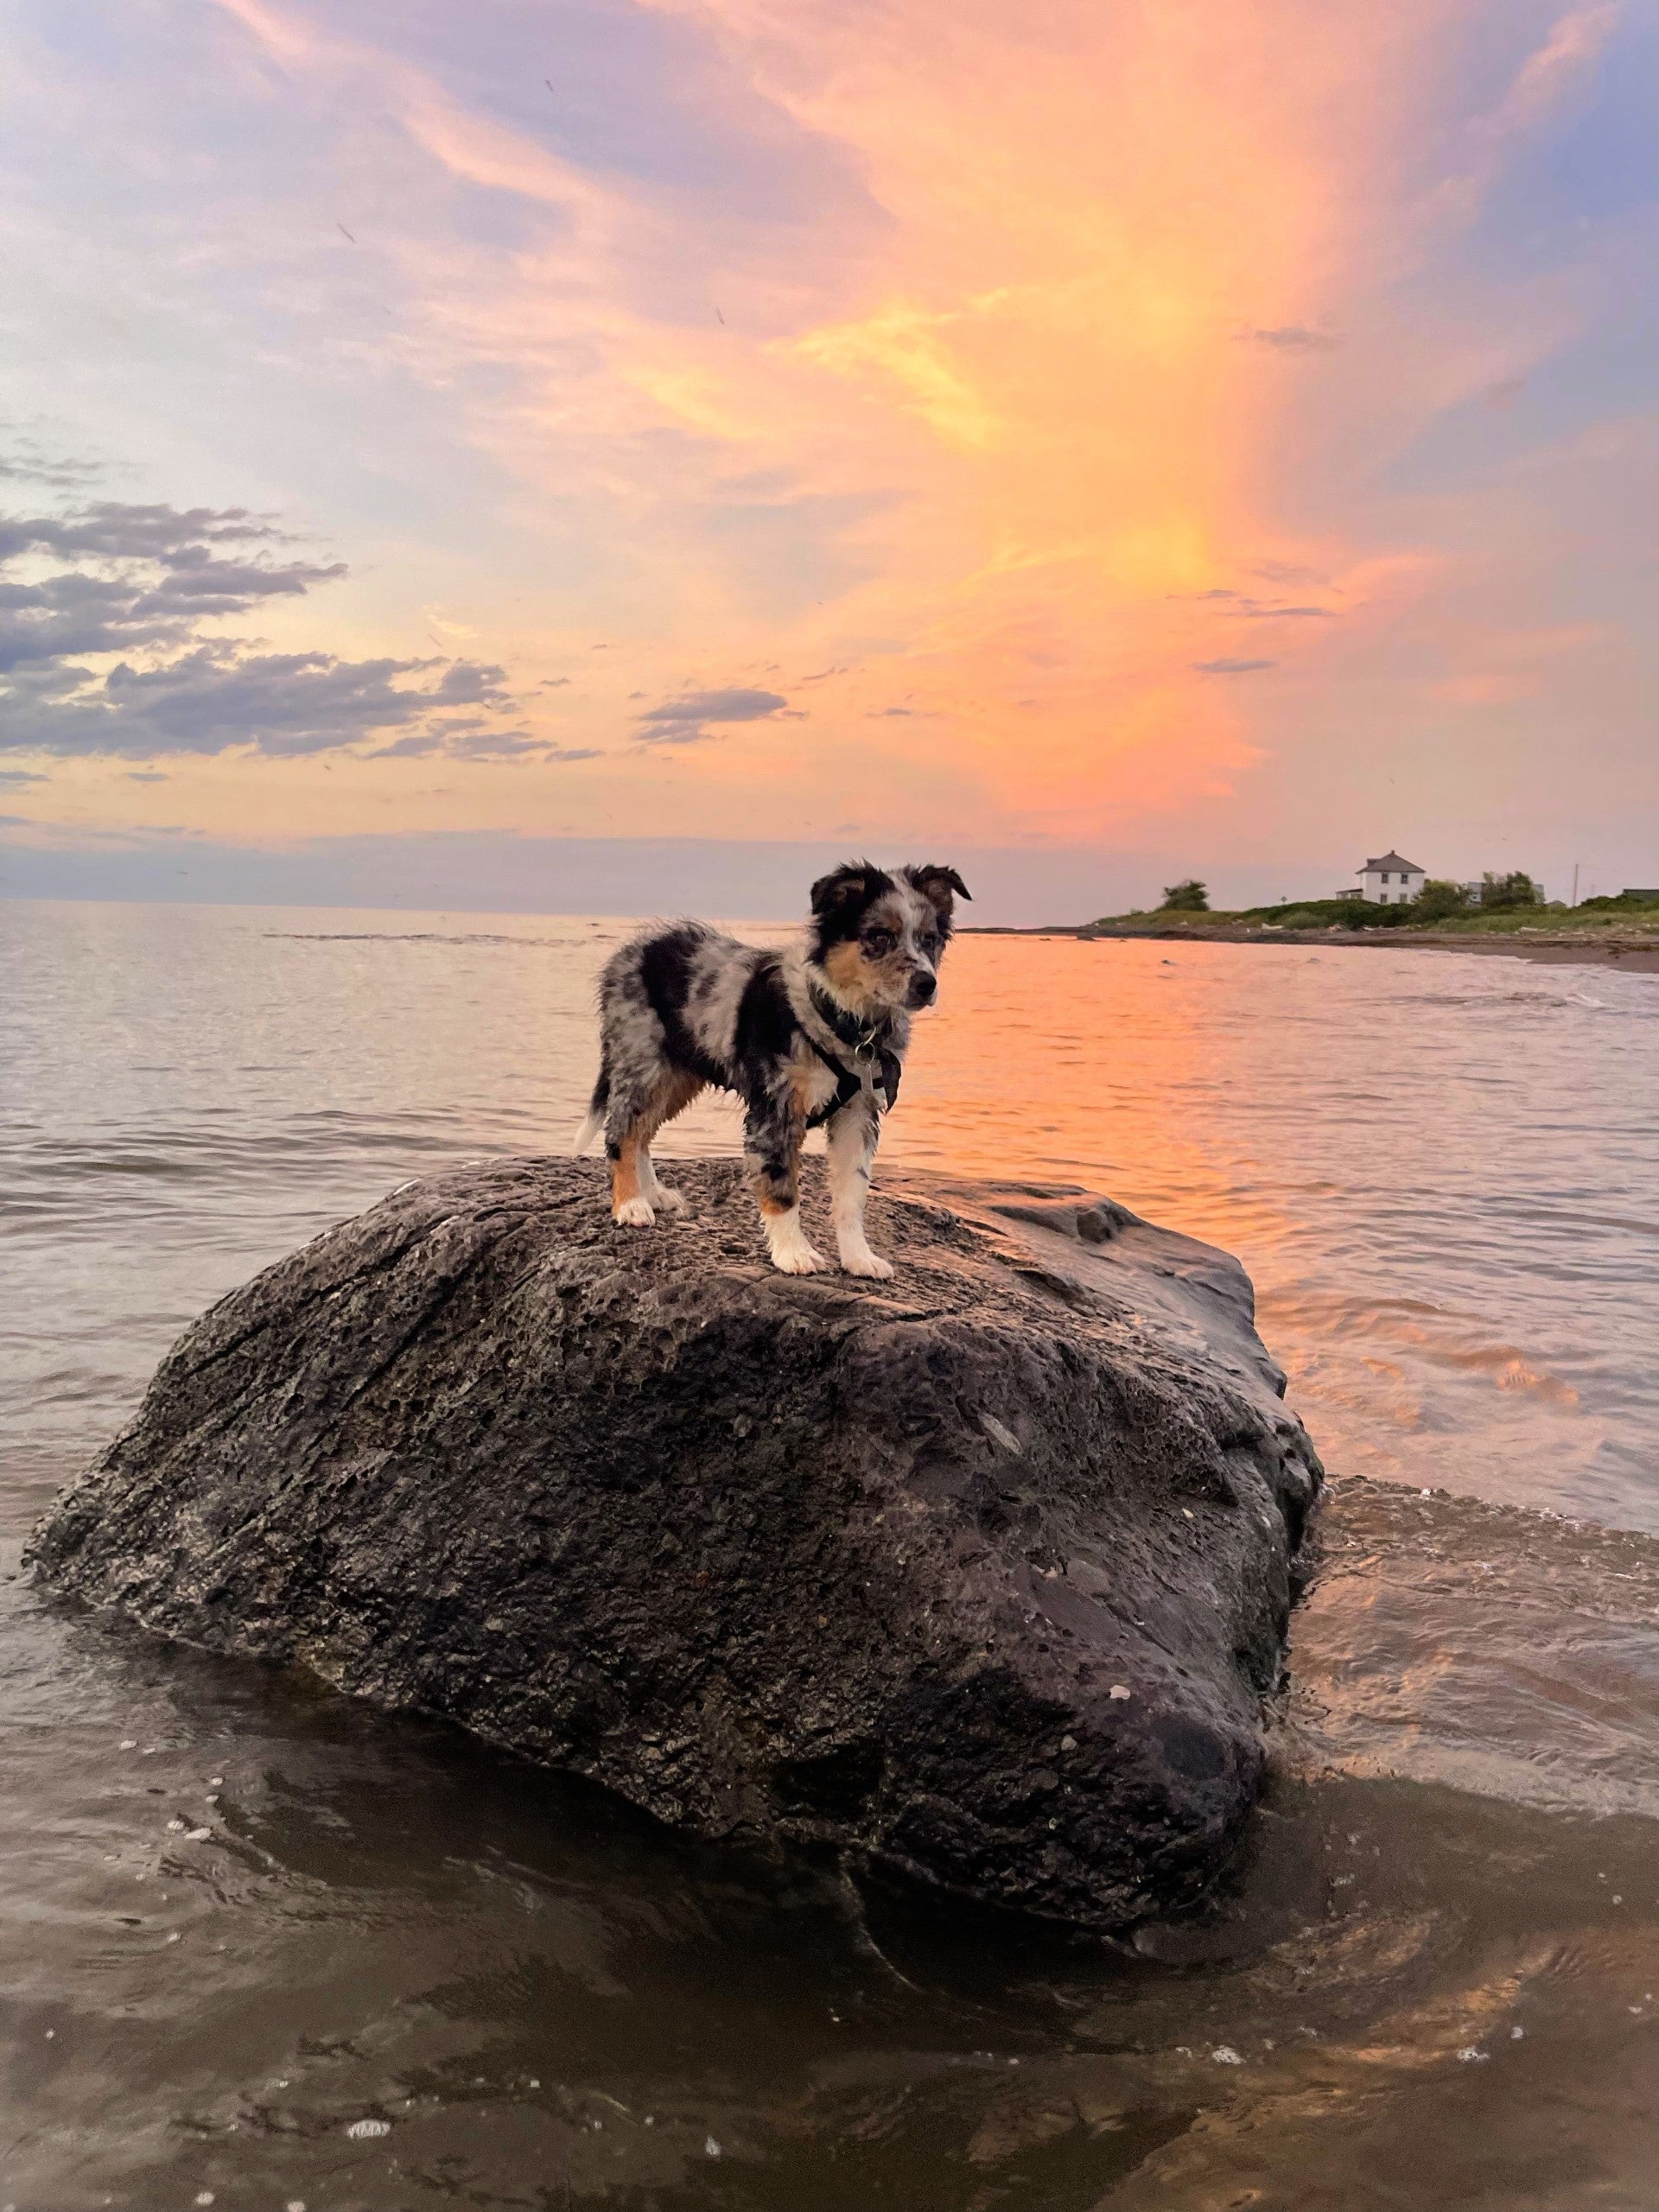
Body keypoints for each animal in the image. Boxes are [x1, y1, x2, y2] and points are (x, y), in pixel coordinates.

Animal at [579, 862, 973, 1282]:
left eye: (930, 939)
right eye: (879, 936)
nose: (926, 984)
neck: (843, 1022)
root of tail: (635, 949)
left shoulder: (858, 1113)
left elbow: (852, 1194)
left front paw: (859, 1258)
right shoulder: (776, 1107)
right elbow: (782, 1186)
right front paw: (794, 1254)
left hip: (680, 1075)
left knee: (642, 1132)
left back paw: (652, 1194)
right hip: (643, 1061)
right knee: (621, 1131)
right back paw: (631, 1205)